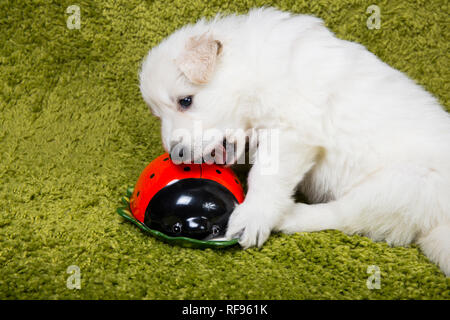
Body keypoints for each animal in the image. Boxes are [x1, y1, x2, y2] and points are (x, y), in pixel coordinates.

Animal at [141, 7, 450, 276]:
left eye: (185, 101)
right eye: (157, 115)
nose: (176, 154)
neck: (255, 67)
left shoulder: (292, 131)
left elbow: (265, 176)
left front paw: (253, 216)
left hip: (397, 187)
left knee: (344, 215)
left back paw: (288, 217)